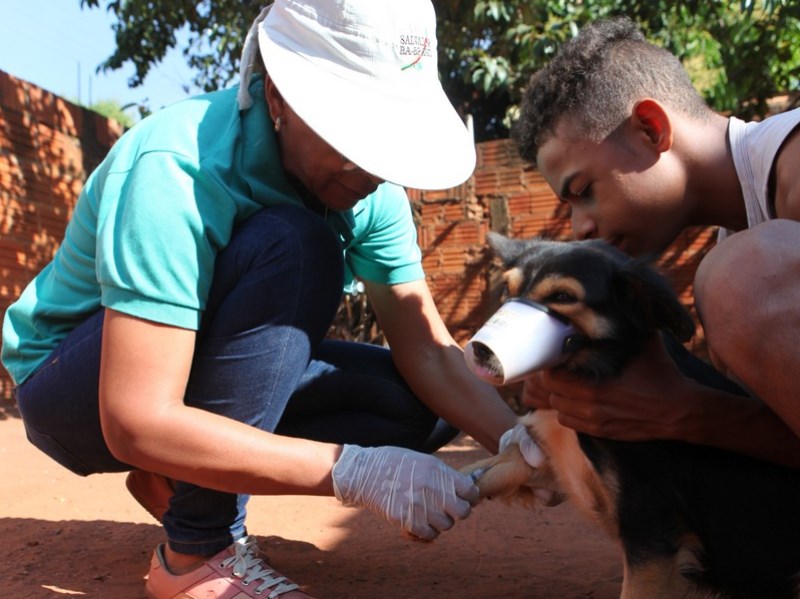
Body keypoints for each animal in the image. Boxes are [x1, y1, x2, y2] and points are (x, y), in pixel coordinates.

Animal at [462, 234, 800, 599]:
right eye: (507, 291)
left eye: (563, 297)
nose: (479, 350)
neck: (595, 368)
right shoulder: (555, 461)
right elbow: (485, 469)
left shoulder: (651, 532)